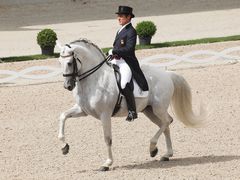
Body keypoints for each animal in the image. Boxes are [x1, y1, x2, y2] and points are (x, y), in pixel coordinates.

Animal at [57, 39, 205, 172]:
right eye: (59, 62)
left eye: (69, 63)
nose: (67, 86)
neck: (95, 79)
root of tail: (167, 74)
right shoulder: (82, 110)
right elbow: (63, 116)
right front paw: (64, 147)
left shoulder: (105, 115)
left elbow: (107, 139)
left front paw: (107, 163)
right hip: (149, 111)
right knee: (165, 125)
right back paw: (166, 154)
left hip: (158, 108)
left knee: (167, 121)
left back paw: (153, 148)